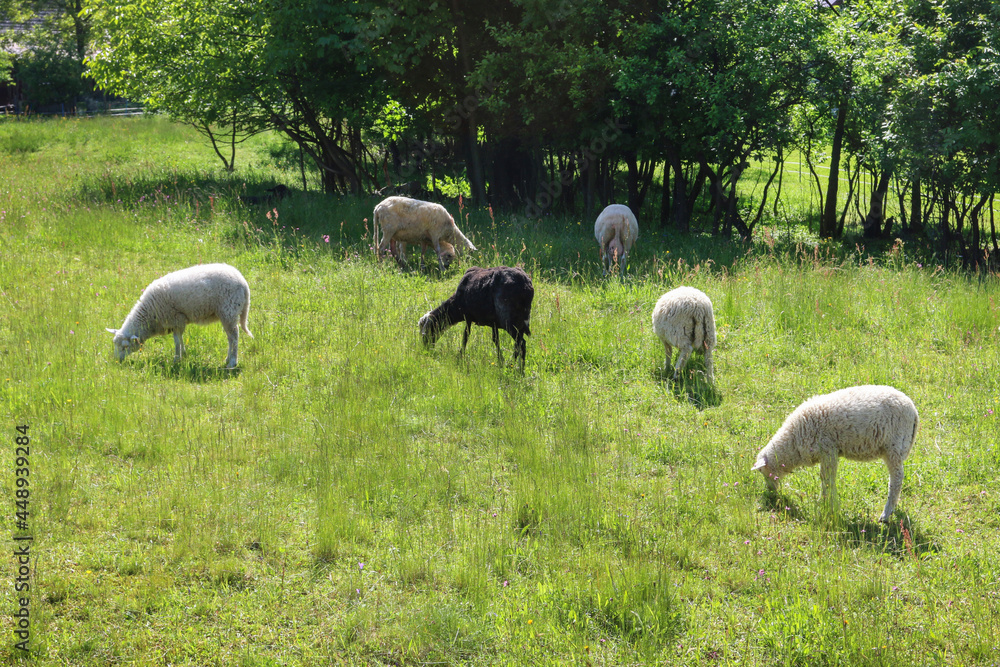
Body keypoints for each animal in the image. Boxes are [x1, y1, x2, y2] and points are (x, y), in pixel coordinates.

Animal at [106, 263, 253, 369]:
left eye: (125, 346)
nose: (117, 361)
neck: (149, 314)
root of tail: (243, 282)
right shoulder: (179, 322)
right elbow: (181, 339)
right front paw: (184, 354)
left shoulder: (175, 319)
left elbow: (176, 341)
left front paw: (176, 359)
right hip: (228, 313)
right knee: (230, 338)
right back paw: (227, 359)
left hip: (229, 311)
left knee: (234, 337)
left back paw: (232, 363)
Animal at [752, 385, 919, 522]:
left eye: (763, 472)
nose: (771, 493)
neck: (793, 441)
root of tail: (913, 410)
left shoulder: (828, 450)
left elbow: (826, 479)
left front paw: (827, 504)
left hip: (894, 446)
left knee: (896, 479)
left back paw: (886, 514)